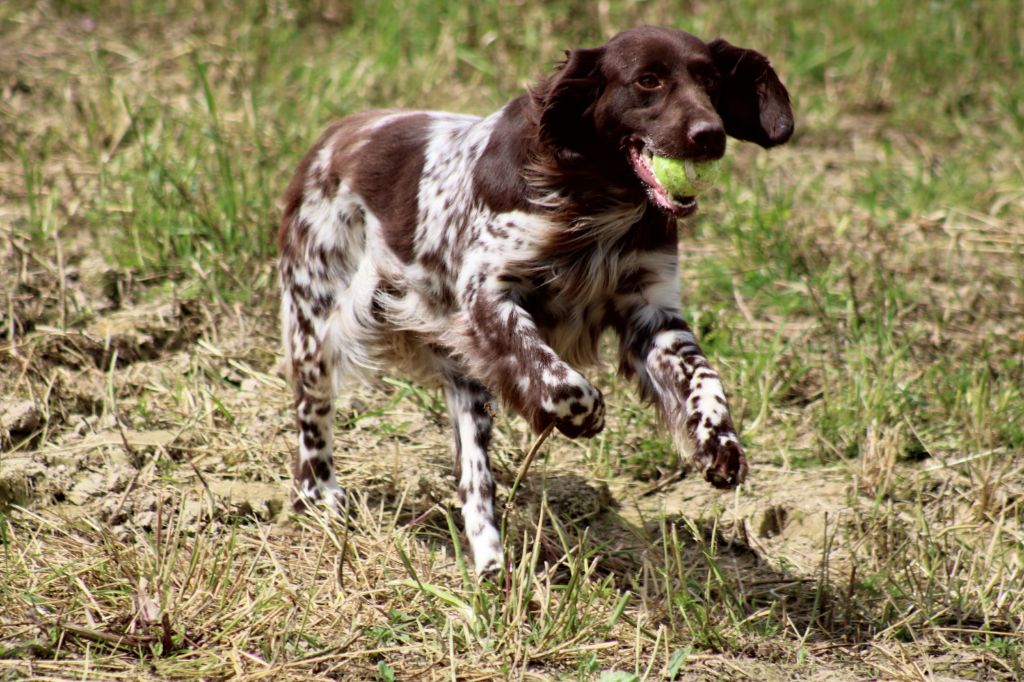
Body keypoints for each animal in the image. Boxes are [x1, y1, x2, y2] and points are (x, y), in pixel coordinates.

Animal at [278, 23, 790, 569]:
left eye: (710, 80)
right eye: (647, 80)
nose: (709, 135)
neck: (592, 199)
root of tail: (334, 136)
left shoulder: (653, 316)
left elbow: (704, 377)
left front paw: (718, 440)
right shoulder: (489, 299)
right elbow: (566, 386)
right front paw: (586, 417)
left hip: (466, 385)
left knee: (475, 482)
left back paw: (491, 567)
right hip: (316, 328)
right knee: (312, 419)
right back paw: (319, 496)